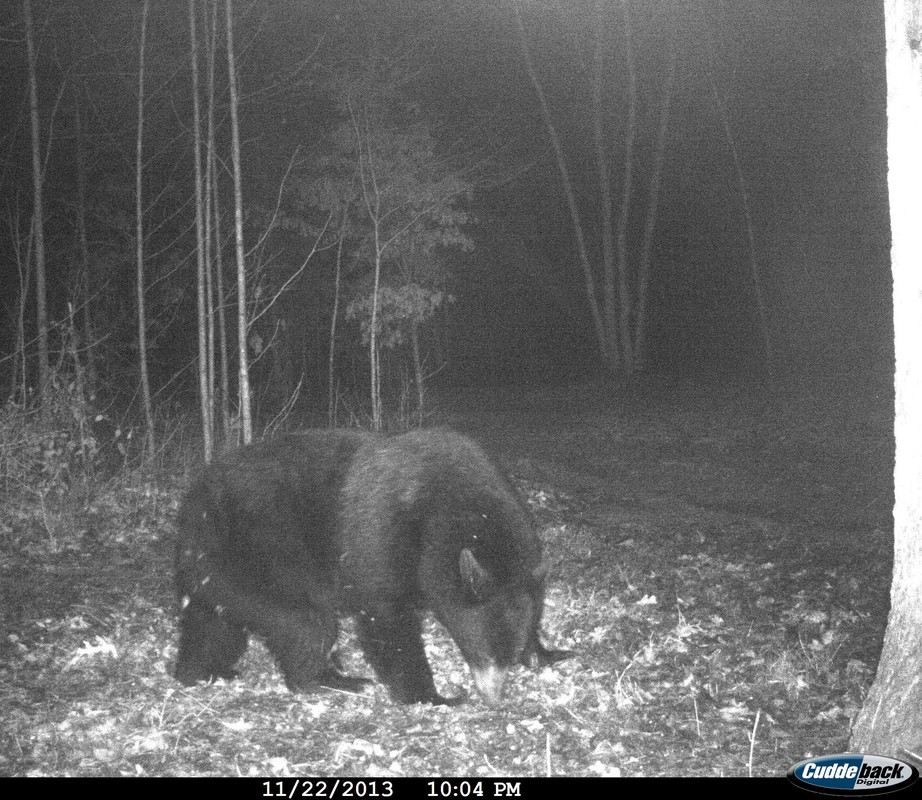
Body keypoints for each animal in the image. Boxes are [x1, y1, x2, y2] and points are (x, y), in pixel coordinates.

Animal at [174, 428, 568, 705]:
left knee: (216, 620)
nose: (494, 699)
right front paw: (434, 696)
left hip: (218, 569)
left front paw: (547, 652)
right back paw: (327, 679)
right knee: (306, 623)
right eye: (483, 652)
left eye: (510, 656)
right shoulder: (385, 535)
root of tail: (192, 505)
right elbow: (387, 615)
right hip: (266, 553)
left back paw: (202, 670)